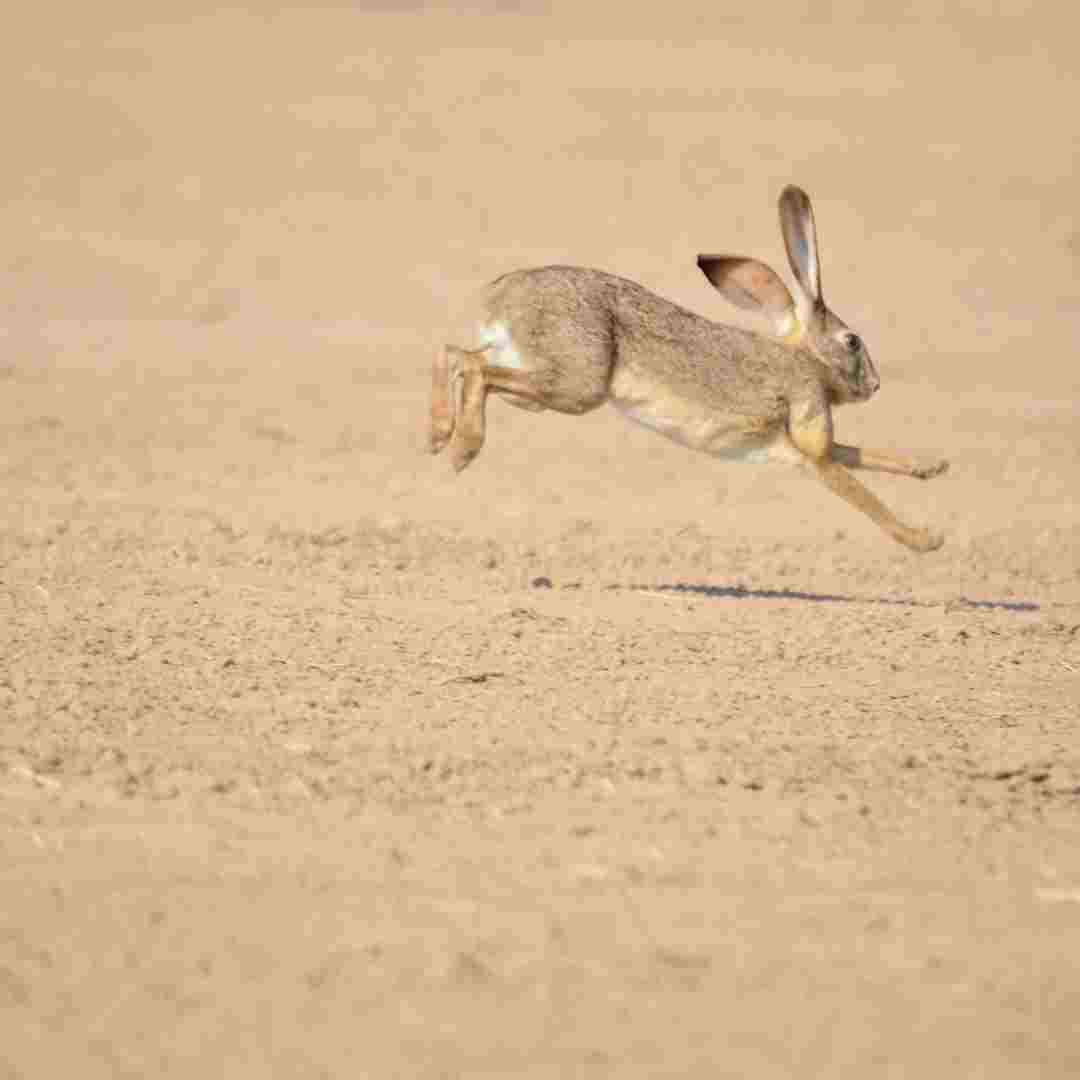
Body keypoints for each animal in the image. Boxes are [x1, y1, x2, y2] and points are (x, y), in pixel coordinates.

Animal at [425, 185, 950, 552]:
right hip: (576, 385)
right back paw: (461, 450)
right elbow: (862, 494)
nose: (876, 385)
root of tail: (502, 294)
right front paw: (926, 540)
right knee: (473, 368)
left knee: (456, 356)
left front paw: (932, 466)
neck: (807, 360)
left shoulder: (804, 445)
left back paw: (439, 436)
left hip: (535, 379)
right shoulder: (811, 442)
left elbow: (860, 453)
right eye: (852, 342)